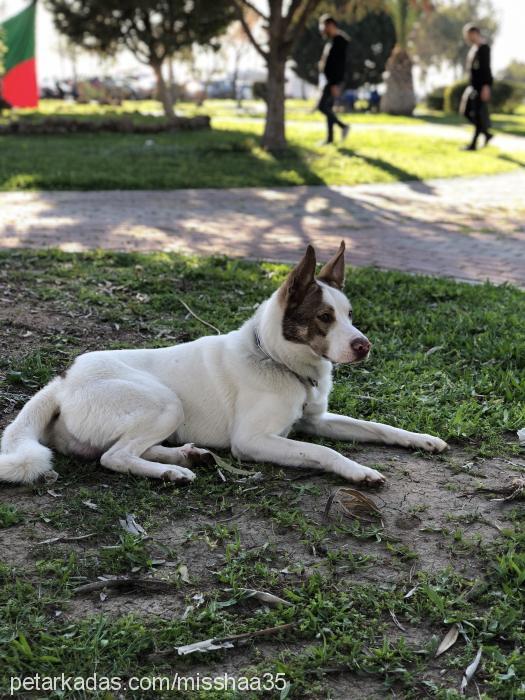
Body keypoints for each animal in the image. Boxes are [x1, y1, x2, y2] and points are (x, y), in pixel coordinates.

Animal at [0, 245, 446, 486]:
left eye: (350, 314)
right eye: (324, 317)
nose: (364, 346)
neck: (276, 358)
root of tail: (62, 380)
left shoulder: (315, 420)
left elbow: (378, 427)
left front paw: (421, 439)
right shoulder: (252, 440)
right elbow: (324, 451)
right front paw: (357, 471)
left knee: (122, 449)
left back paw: (186, 457)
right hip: (164, 402)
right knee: (115, 457)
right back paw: (173, 472)